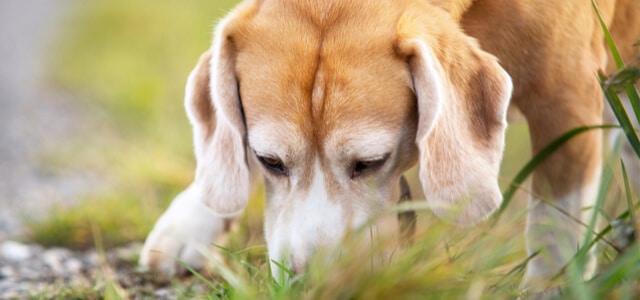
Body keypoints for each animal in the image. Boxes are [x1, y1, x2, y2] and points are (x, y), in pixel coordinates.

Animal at [140, 0, 640, 292]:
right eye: (270, 161)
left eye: (369, 162)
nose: (313, 282)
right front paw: (194, 219)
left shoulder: (569, 98)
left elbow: (554, 226)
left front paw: (548, 286)